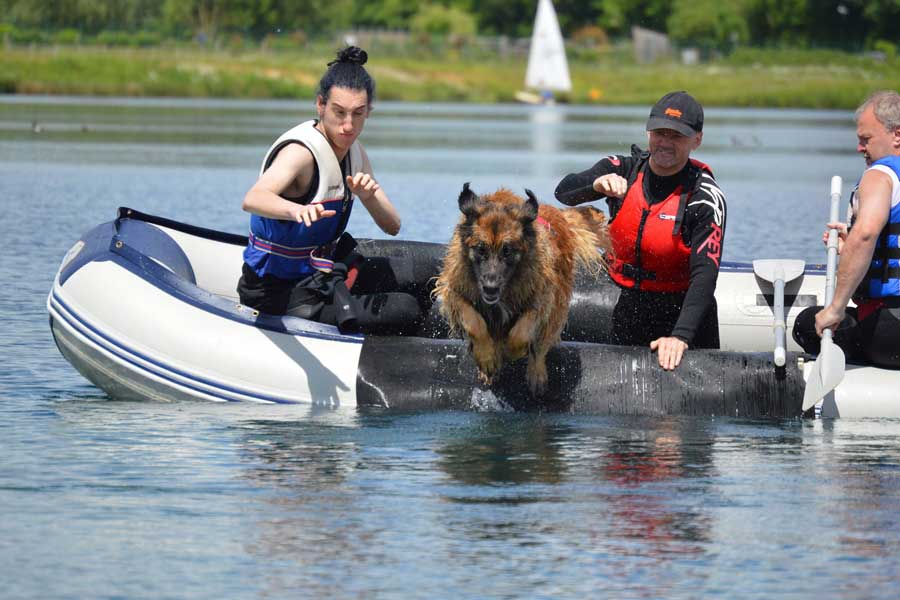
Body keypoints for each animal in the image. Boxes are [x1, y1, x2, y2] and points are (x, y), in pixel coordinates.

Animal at [432, 185, 608, 396]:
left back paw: (536, 373)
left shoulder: (541, 296)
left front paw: (510, 351)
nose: (490, 287)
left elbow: (522, 332)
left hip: (558, 305)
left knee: (542, 344)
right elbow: (474, 322)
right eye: (481, 249)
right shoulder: (455, 290)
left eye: (507, 250)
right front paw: (487, 358)